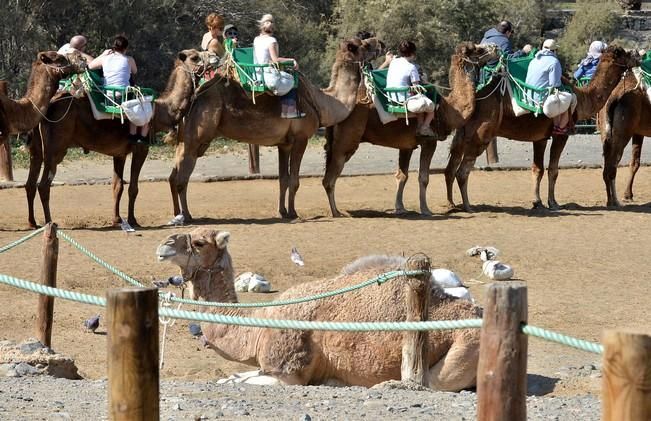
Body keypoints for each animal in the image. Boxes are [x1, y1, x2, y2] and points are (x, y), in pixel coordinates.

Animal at [24, 50, 214, 230]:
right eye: (195, 57)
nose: (214, 57)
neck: (160, 111)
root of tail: (47, 106)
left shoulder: (119, 153)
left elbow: (117, 186)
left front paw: (117, 219)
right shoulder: (141, 148)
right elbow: (133, 188)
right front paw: (133, 220)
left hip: (37, 149)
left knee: (30, 183)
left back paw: (32, 223)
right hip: (56, 148)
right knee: (43, 185)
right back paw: (49, 222)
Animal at [157, 226, 484, 390]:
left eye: (199, 242)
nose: (163, 246)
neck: (260, 328)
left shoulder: (287, 374)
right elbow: (233, 377)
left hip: (461, 350)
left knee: (436, 383)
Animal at [168, 38, 388, 221]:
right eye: (364, 44)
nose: (381, 43)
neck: (323, 102)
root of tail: (194, 95)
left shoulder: (284, 144)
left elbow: (283, 179)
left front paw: (282, 211)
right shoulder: (301, 139)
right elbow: (294, 180)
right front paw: (294, 213)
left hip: (187, 137)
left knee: (174, 174)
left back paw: (178, 214)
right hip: (197, 138)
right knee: (182, 178)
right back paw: (187, 216)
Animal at [322, 41, 500, 217]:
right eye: (477, 49)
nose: (496, 47)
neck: (448, 109)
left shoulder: (406, 145)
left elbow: (402, 176)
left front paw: (400, 208)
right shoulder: (429, 141)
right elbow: (423, 177)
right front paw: (425, 209)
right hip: (347, 140)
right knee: (330, 177)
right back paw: (336, 212)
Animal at [446, 44, 640, 212]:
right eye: (622, 52)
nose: (637, 55)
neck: (581, 98)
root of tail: (476, 98)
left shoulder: (540, 137)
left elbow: (537, 169)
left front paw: (537, 202)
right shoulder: (561, 133)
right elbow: (553, 170)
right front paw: (553, 203)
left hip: (462, 133)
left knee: (451, 167)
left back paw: (452, 204)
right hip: (481, 134)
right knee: (462, 171)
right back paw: (467, 206)